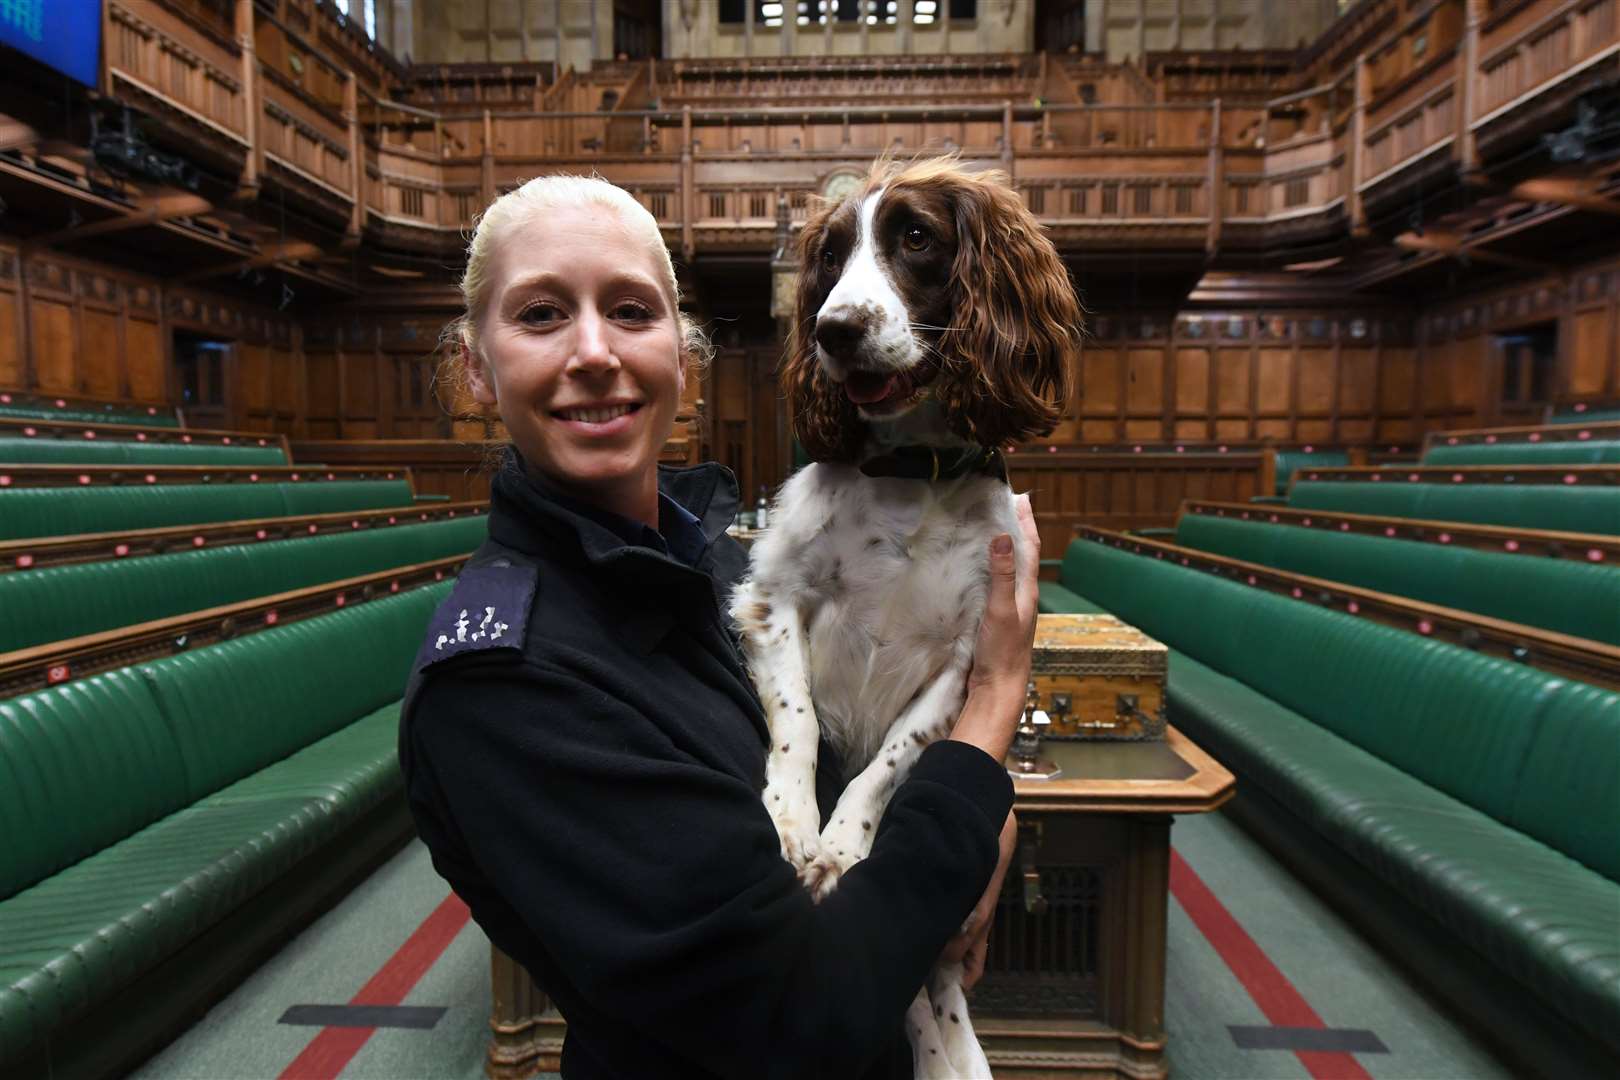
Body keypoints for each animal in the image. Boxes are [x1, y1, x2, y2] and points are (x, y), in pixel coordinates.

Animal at [735, 162, 1088, 1080]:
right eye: (828, 255)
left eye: (917, 238)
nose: (833, 331)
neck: (910, 470)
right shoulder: (772, 597)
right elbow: (798, 725)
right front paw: (794, 821)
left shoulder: (969, 656)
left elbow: (890, 762)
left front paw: (844, 846)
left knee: (936, 1001)